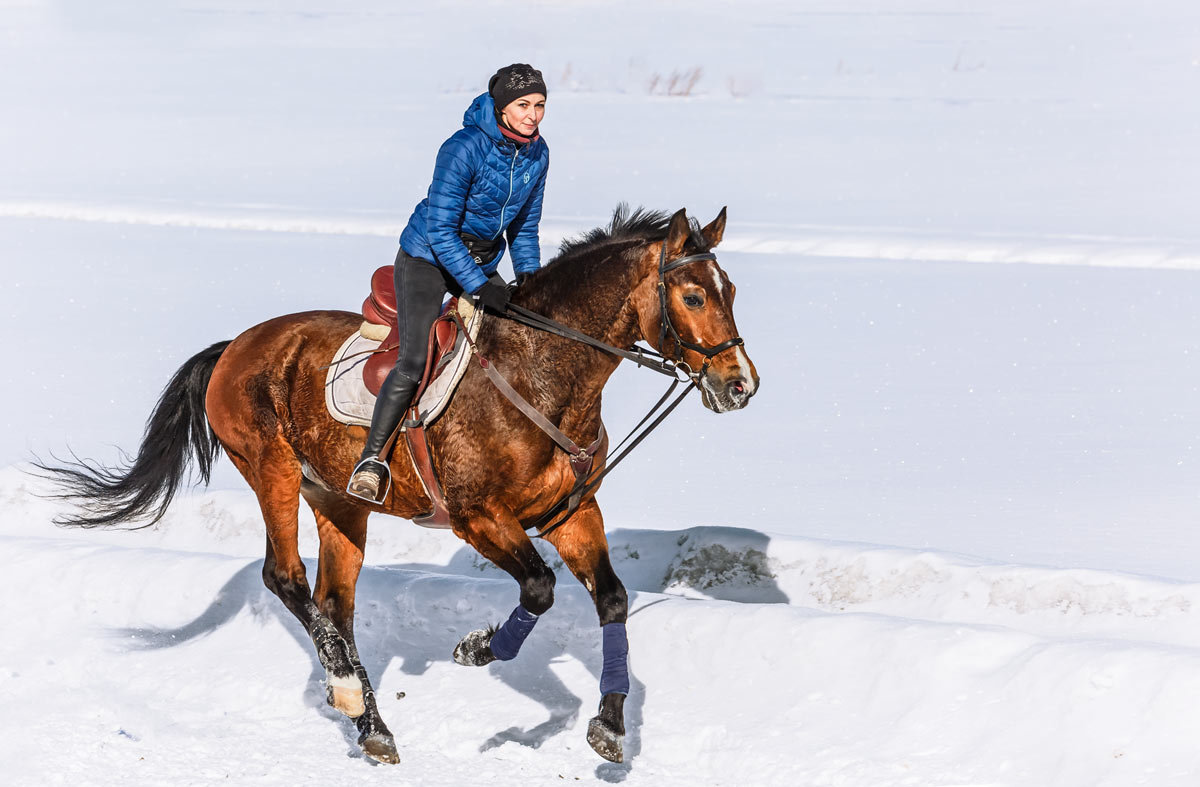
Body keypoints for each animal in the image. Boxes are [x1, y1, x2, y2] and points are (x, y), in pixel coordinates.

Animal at [44, 202, 768, 763]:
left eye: (731, 291)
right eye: (693, 295)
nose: (740, 385)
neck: (545, 372)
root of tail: (236, 346)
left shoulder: (570, 511)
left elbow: (612, 599)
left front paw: (611, 725)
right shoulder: (479, 516)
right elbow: (538, 588)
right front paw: (478, 648)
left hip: (338, 500)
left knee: (334, 603)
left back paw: (371, 725)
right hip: (271, 468)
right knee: (285, 577)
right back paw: (342, 688)